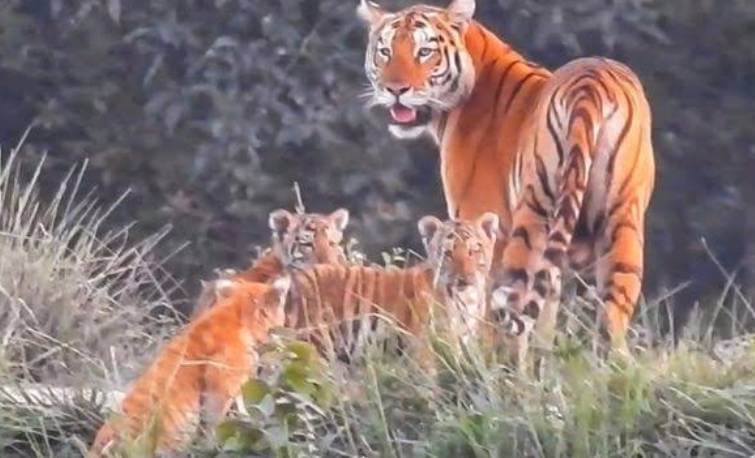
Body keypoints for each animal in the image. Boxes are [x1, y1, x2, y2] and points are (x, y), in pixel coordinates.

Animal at [360, 0, 656, 364]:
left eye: (424, 51)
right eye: (385, 51)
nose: (395, 91)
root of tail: (591, 85)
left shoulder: (480, 219)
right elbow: (546, 313)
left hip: (531, 218)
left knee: (513, 309)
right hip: (623, 221)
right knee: (612, 315)